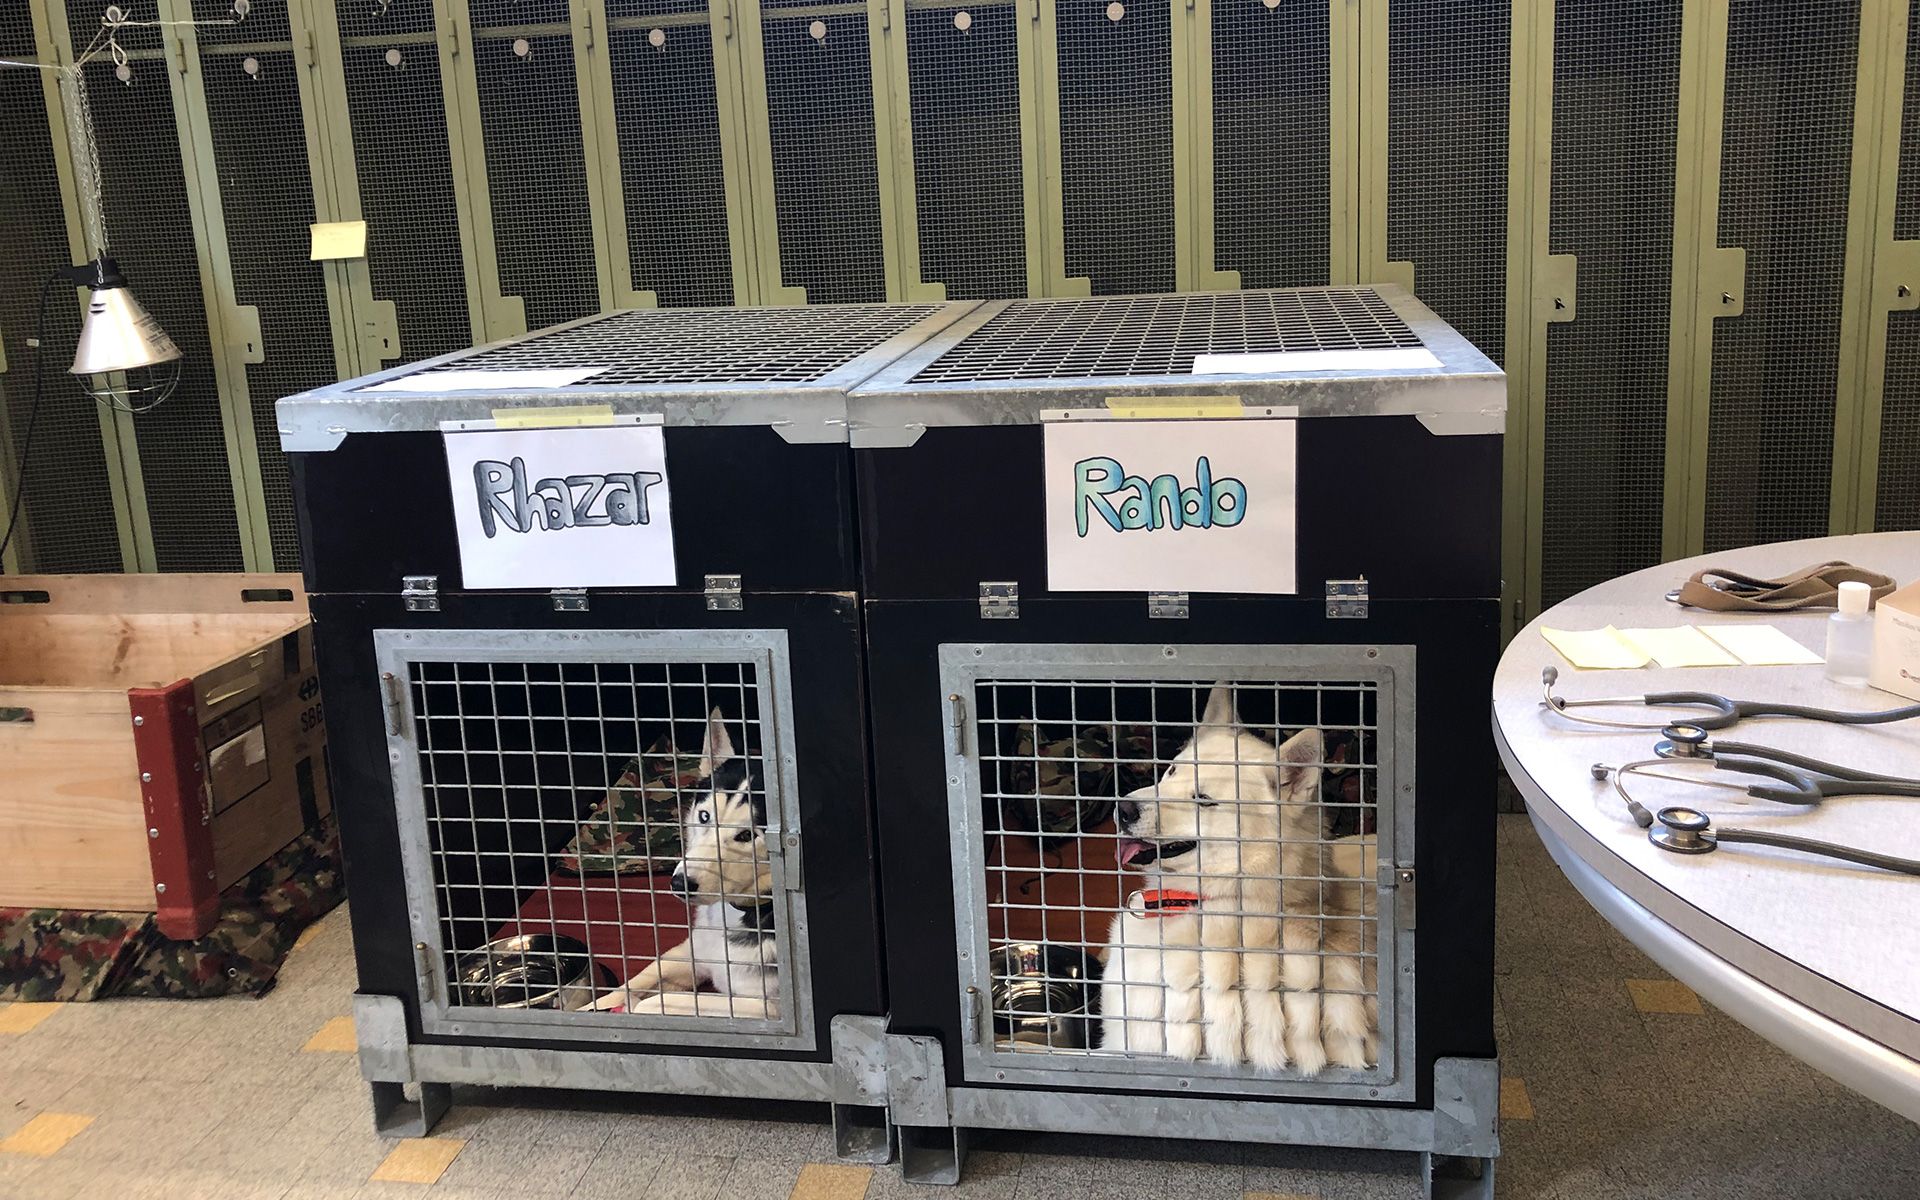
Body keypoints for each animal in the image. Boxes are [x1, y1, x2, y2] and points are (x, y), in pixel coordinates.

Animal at [589, 708, 780, 1018]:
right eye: (704, 816)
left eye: (746, 835)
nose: (679, 883)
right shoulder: (691, 952)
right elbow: (639, 978)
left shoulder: (764, 1008)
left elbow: (657, 1002)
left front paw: (633, 1008)